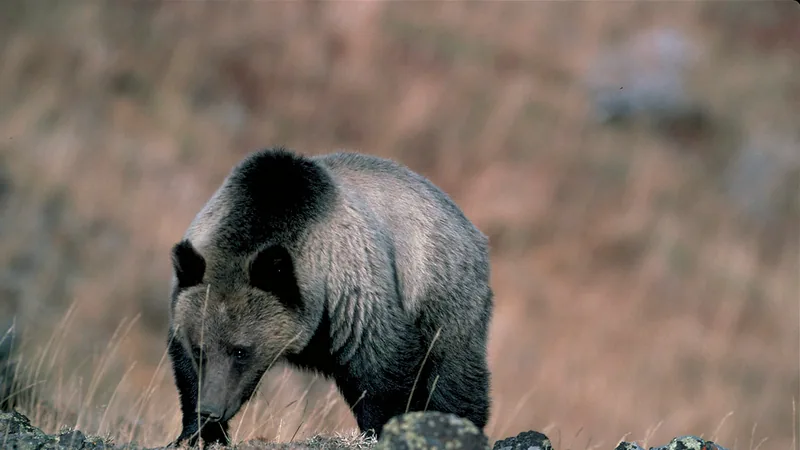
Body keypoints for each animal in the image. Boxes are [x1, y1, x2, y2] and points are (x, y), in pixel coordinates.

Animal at [166, 147, 493, 447]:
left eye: (240, 351)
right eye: (199, 349)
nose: (211, 409)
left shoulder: (354, 295)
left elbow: (383, 371)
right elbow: (186, 373)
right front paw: (197, 433)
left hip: (442, 291)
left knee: (453, 374)